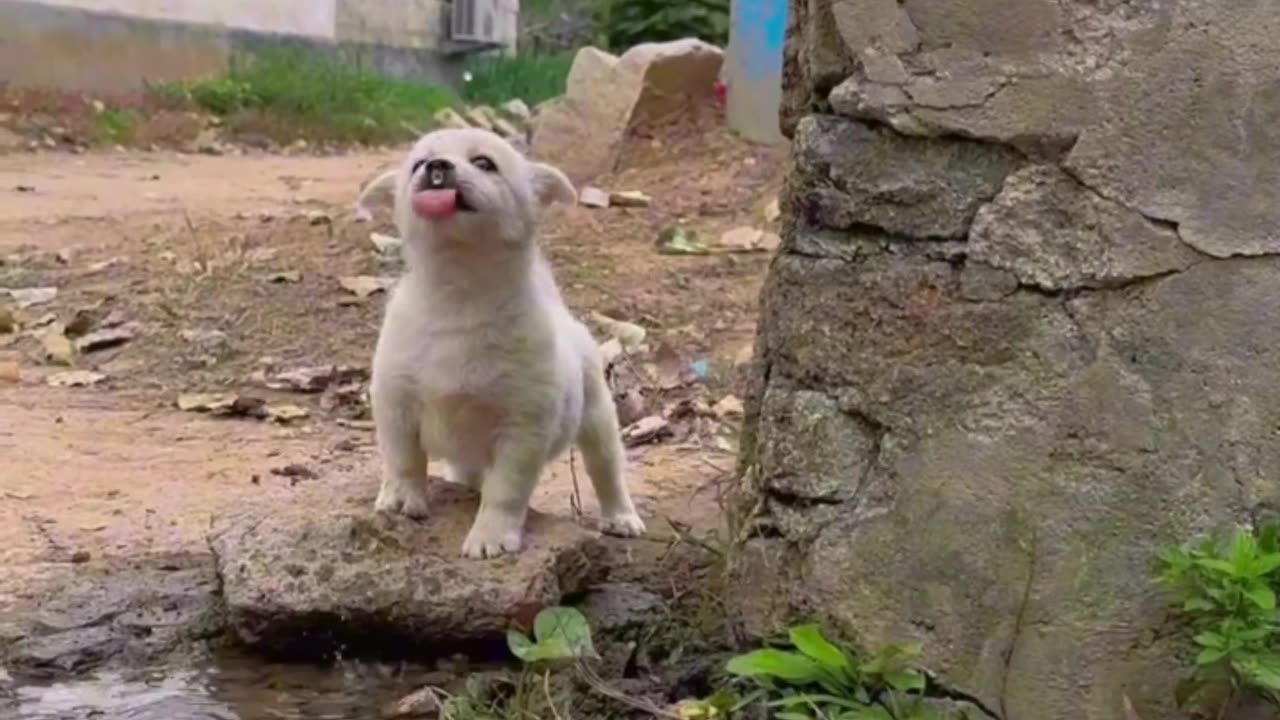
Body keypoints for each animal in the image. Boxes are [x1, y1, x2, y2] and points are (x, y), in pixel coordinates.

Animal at [355, 126, 645, 558]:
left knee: (606, 469)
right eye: (419, 163)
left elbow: (505, 491)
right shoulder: (395, 402)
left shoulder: (522, 429)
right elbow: (404, 460)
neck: (459, 296)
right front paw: (403, 498)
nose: (437, 166)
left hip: (597, 416)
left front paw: (490, 535)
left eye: (484, 163)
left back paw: (621, 516)